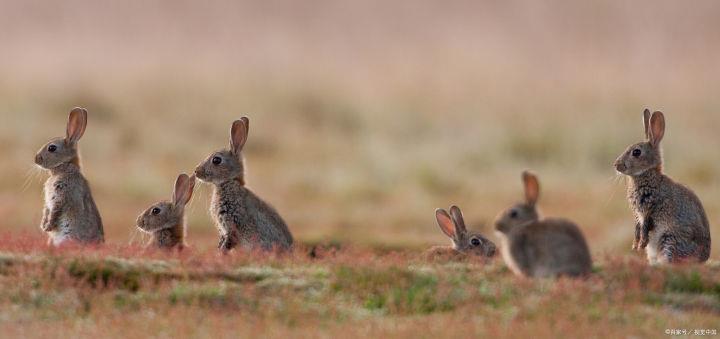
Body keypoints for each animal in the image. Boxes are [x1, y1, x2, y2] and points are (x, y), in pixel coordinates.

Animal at [34, 107, 105, 246]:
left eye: (52, 148)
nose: (36, 159)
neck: (65, 166)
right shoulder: (49, 201)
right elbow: (46, 210)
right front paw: (43, 226)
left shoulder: (62, 194)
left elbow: (55, 212)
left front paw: (48, 227)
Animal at [612, 109, 708, 266]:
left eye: (636, 152)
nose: (616, 165)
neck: (647, 174)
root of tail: (701, 260)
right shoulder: (638, 215)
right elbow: (637, 228)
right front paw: (635, 245)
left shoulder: (649, 210)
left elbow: (644, 228)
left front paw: (640, 244)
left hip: (669, 240)